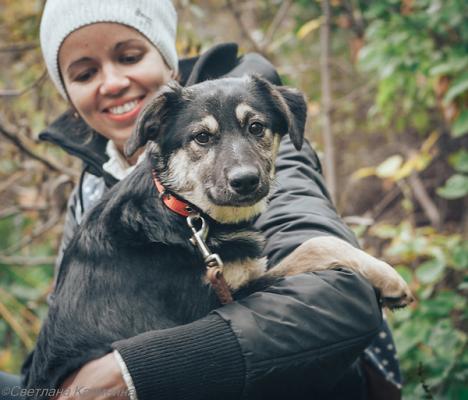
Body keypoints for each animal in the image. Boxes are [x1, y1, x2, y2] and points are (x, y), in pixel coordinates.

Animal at [22, 75, 412, 394]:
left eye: (256, 127)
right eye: (201, 137)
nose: (246, 181)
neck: (186, 214)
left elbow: (313, 241)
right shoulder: (220, 302)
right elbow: (316, 244)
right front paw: (389, 277)